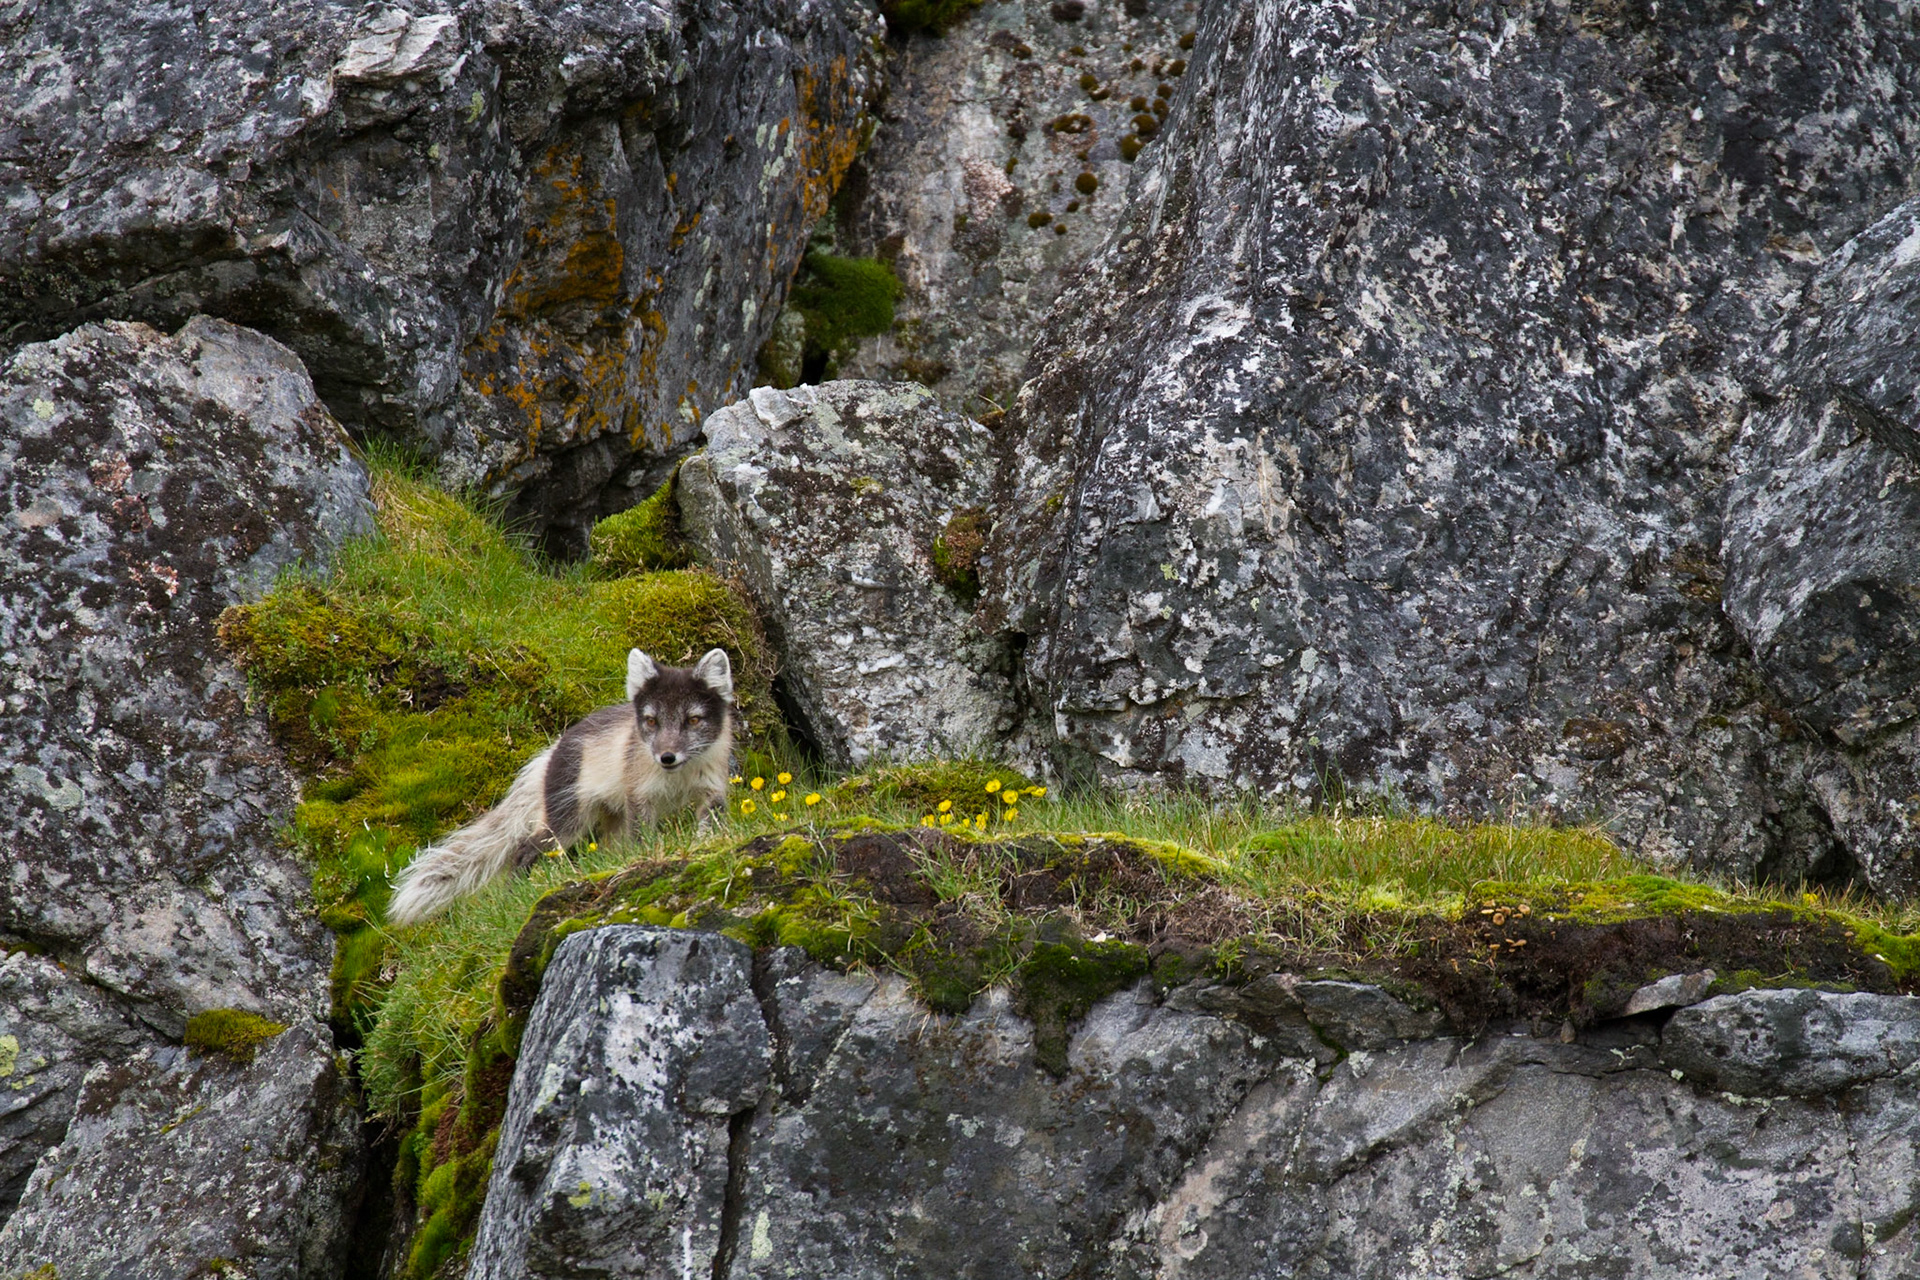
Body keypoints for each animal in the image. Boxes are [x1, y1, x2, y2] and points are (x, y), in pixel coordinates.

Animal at [386, 647, 735, 925]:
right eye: (652, 721)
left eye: (693, 720)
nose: (666, 757)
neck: (678, 778)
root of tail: (551, 752)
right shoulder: (639, 797)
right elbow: (643, 836)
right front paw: (647, 854)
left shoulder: (712, 789)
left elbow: (711, 824)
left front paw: (707, 844)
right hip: (565, 822)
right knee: (523, 851)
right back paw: (516, 893)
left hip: (608, 819)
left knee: (603, 846)